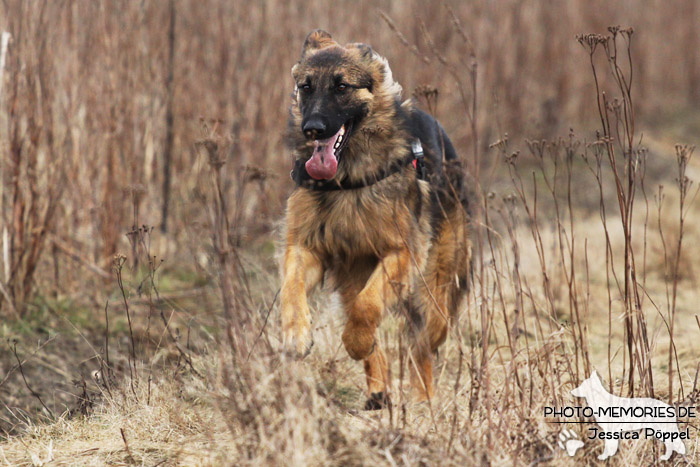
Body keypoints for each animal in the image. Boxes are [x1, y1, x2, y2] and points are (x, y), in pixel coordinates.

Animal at [278, 30, 470, 410]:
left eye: (341, 87)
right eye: (306, 87)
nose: (312, 129)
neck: (347, 179)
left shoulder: (401, 253)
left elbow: (368, 307)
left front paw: (355, 342)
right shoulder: (305, 248)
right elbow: (292, 288)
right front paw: (295, 334)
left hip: (434, 291)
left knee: (422, 343)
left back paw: (423, 398)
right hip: (354, 276)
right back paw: (379, 391)